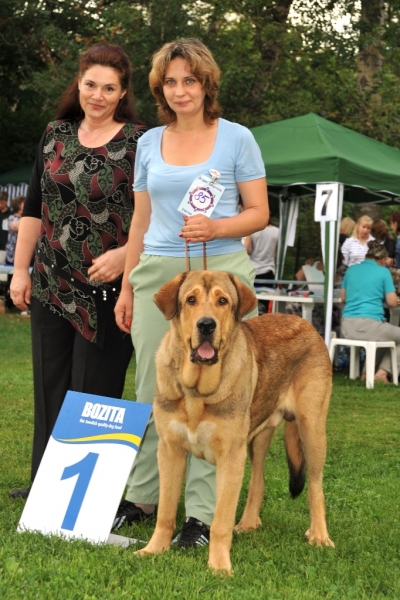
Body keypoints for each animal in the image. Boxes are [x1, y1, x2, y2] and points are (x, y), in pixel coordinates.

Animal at [138, 270, 334, 572]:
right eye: (191, 300)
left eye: (223, 301)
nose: (206, 325)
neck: (197, 392)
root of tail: (306, 323)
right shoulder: (170, 449)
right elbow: (166, 511)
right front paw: (154, 549)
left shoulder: (230, 456)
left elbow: (220, 520)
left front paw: (219, 565)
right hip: (259, 436)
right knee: (258, 479)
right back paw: (249, 523)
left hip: (311, 429)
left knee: (316, 486)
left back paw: (320, 535)